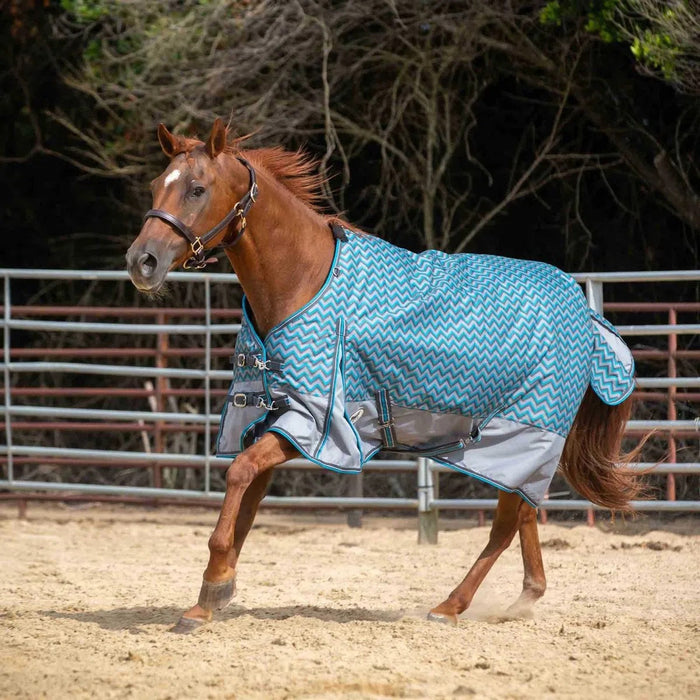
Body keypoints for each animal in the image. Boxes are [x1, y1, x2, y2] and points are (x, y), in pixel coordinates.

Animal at [126, 118, 645, 633]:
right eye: (156, 184)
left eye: (197, 188)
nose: (141, 261)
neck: (303, 278)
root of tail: (585, 313)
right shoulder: (269, 414)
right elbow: (248, 498)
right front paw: (211, 595)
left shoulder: (313, 422)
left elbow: (239, 474)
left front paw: (212, 586)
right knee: (524, 514)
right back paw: (524, 597)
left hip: (523, 438)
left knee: (504, 524)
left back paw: (450, 606)